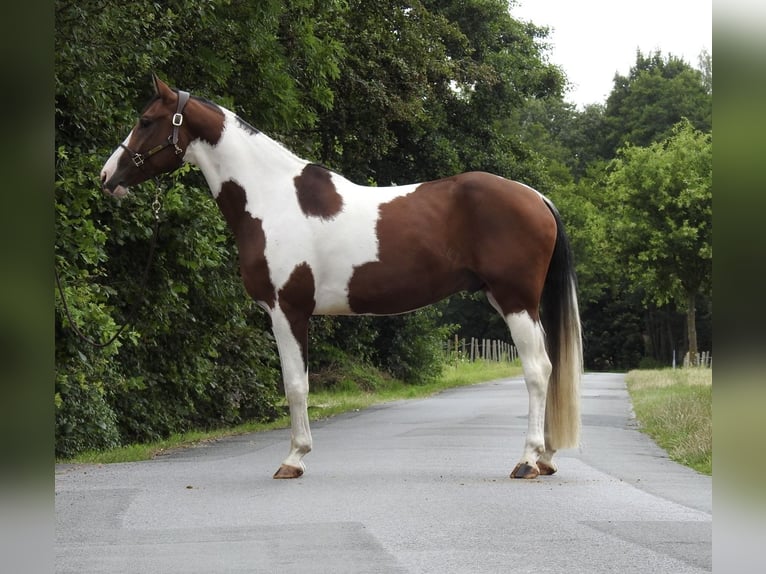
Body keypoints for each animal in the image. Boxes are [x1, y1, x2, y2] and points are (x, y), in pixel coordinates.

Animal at [100, 75, 583, 480]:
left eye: (146, 120)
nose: (107, 177)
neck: (271, 198)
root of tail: (537, 197)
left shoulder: (287, 311)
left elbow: (295, 385)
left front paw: (294, 459)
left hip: (516, 300)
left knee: (537, 369)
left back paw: (527, 460)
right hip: (510, 301)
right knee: (547, 367)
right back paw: (545, 458)